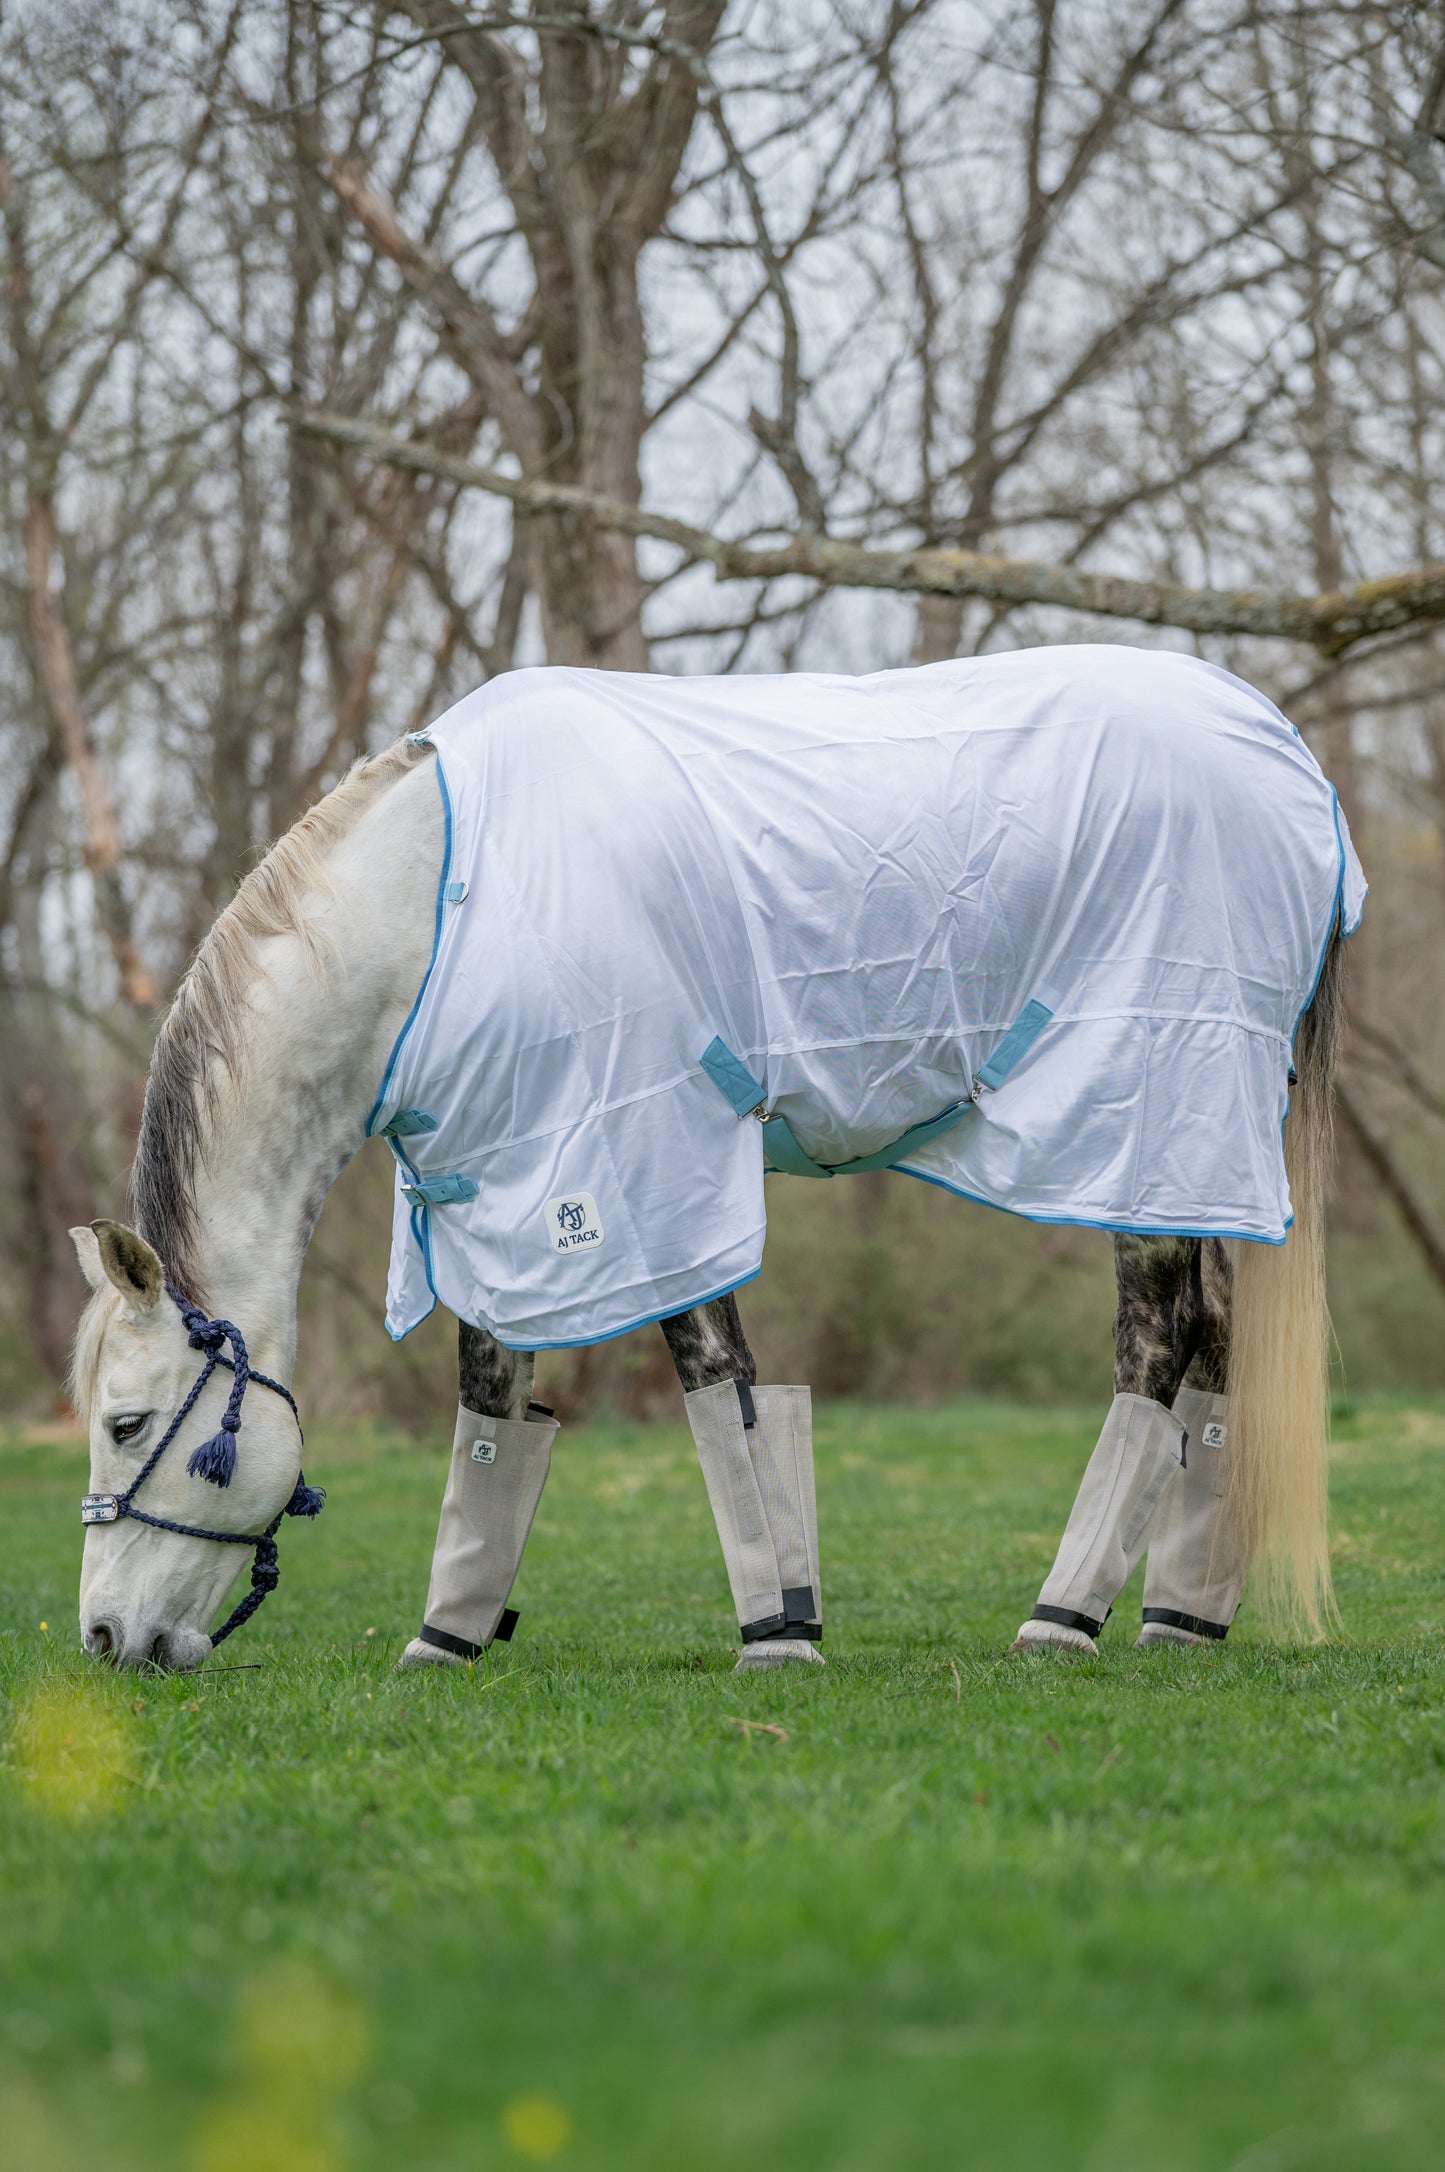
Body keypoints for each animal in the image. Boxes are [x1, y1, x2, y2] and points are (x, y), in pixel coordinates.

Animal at [67, 646, 1360, 1672]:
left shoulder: (638, 1164)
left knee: (1160, 1347)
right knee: (1217, 1357)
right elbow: (495, 1405)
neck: (438, 916)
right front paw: (446, 1638)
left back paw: (1061, 1618)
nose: (106, 1640)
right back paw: (1177, 1622)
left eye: (125, 1424)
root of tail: (1296, 772)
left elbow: (713, 1378)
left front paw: (775, 1636)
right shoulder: (501, 1183)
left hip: (1147, 1123)